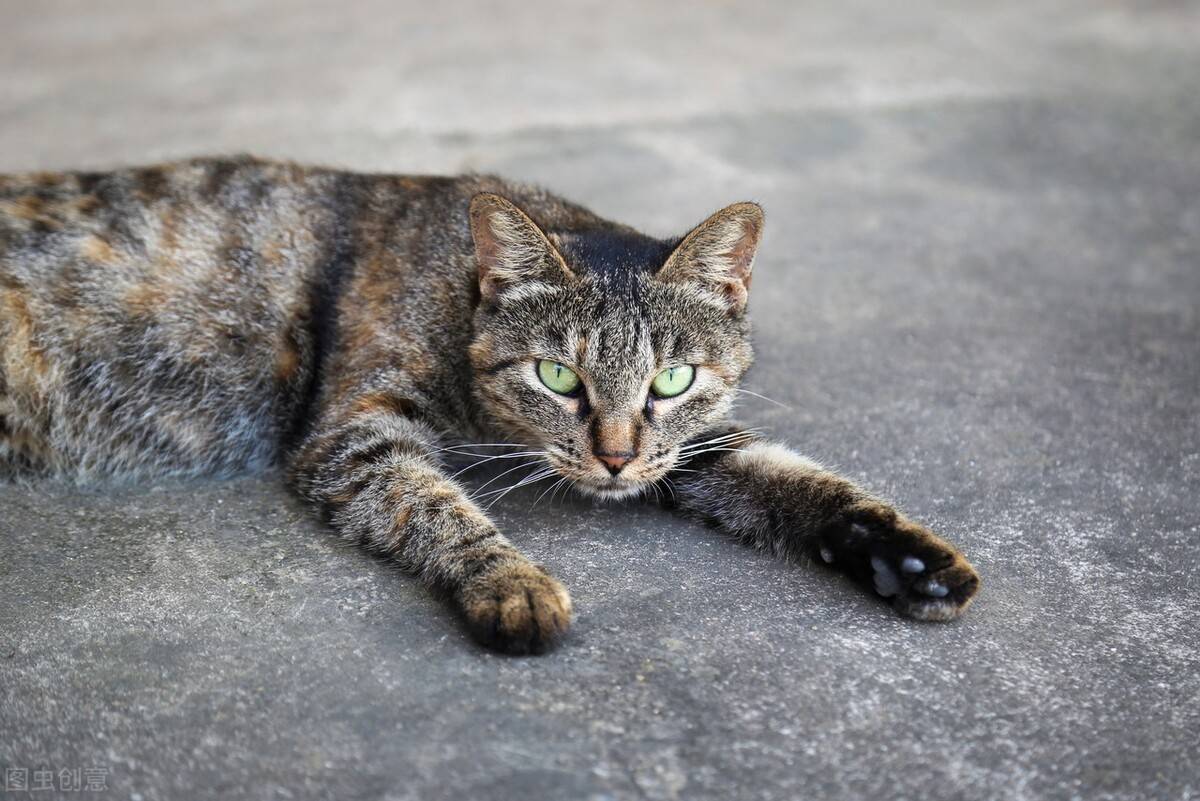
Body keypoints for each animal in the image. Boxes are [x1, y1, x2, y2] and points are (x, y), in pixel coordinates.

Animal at [0, 154, 979, 652]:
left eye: (671, 380)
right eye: (557, 377)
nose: (616, 456)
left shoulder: (690, 446)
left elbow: (793, 477)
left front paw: (905, 557)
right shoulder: (357, 432)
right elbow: (435, 506)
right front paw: (509, 580)